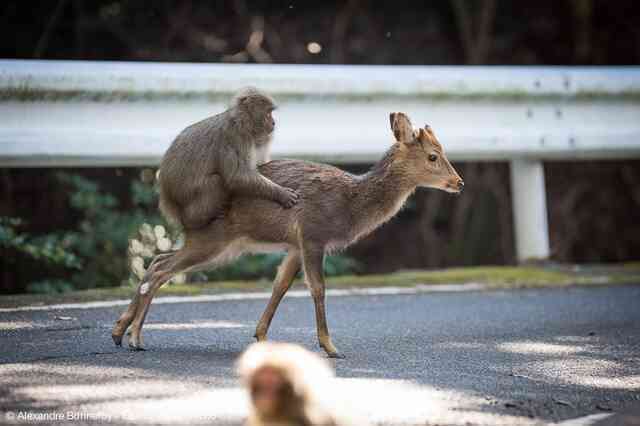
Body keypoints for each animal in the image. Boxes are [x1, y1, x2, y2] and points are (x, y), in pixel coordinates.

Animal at [112, 111, 462, 358]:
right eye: (433, 156)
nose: (459, 182)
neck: (350, 205)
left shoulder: (294, 245)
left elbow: (280, 286)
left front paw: (261, 336)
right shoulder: (313, 234)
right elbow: (318, 288)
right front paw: (331, 347)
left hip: (219, 245)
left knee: (158, 259)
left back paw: (120, 332)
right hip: (214, 240)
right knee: (162, 269)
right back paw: (135, 337)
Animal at [159, 87, 302, 231]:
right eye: (268, 113)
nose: (273, 123)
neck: (241, 121)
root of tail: (167, 196)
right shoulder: (235, 138)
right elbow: (236, 176)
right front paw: (280, 193)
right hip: (185, 196)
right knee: (216, 182)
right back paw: (193, 221)